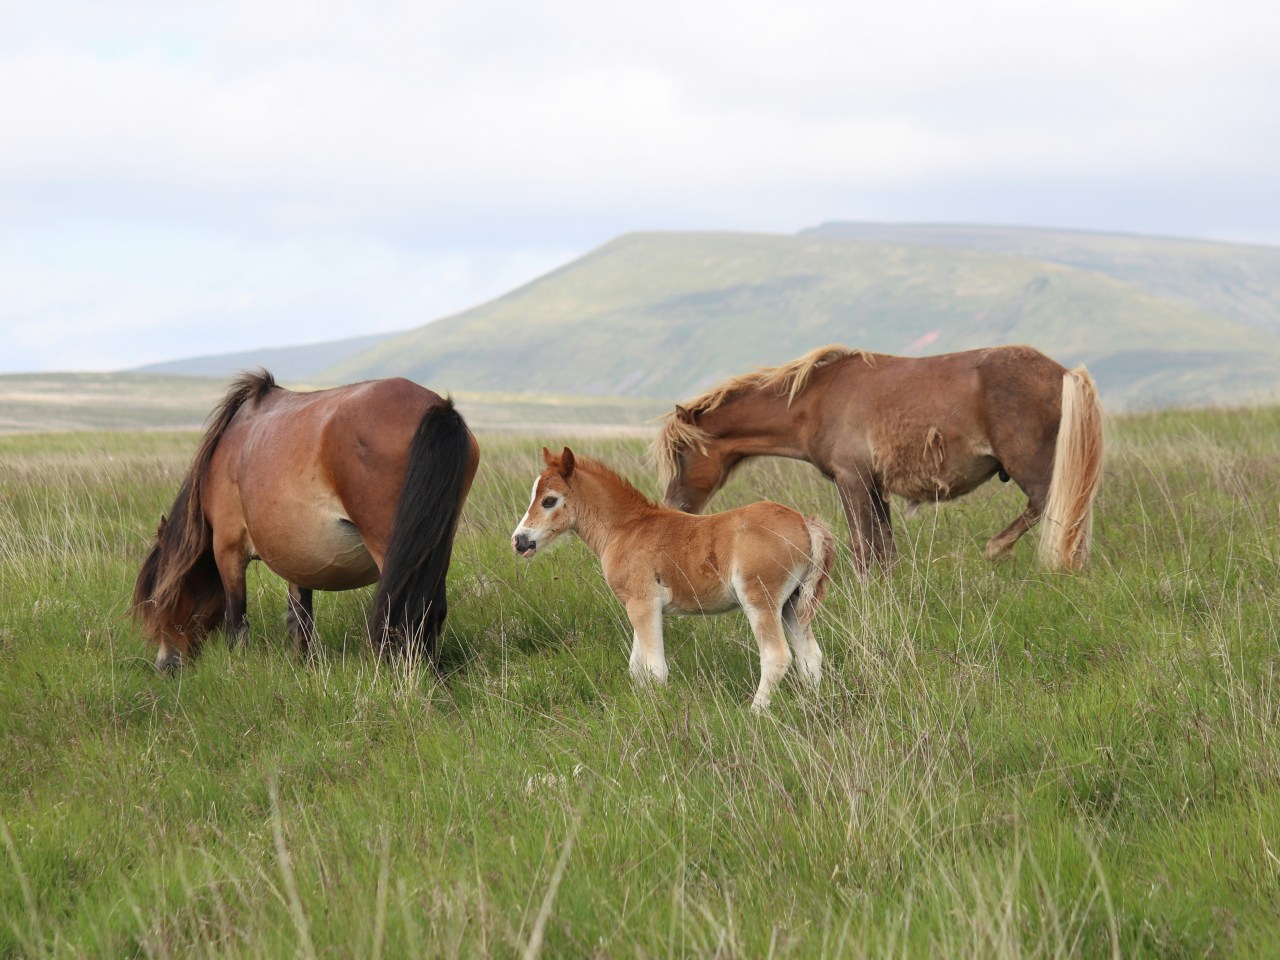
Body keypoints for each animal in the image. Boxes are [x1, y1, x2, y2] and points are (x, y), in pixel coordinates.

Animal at [132, 370, 480, 671]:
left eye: (160, 600)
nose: (165, 666)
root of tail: (436, 407)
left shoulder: (227, 549)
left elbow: (237, 621)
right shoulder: (298, 558)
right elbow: (300, 619)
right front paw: (303, 666)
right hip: (435, 549)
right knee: (431, 611)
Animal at [511, 447, 835, 712]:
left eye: (549, 500)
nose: (519, 541)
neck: (626, 529)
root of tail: (805, 523)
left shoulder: (643, 604)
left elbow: (655, 669)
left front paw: (658, 713)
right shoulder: (640, 607)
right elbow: (637, 669)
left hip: (760, 601)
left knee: (777, 657)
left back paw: (755, 714)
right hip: (793, 605)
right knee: (811, 657)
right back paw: (813, 707)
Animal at [654, 344, 1103, 574]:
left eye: (680, 453)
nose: (675, 507)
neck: (815, 398)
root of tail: (1064, 373)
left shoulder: (851, 480)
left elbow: (862, 545)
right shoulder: (874, 487)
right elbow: (884, 546)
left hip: (1031, 466)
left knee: (1048, 505)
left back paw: (1002, 550)